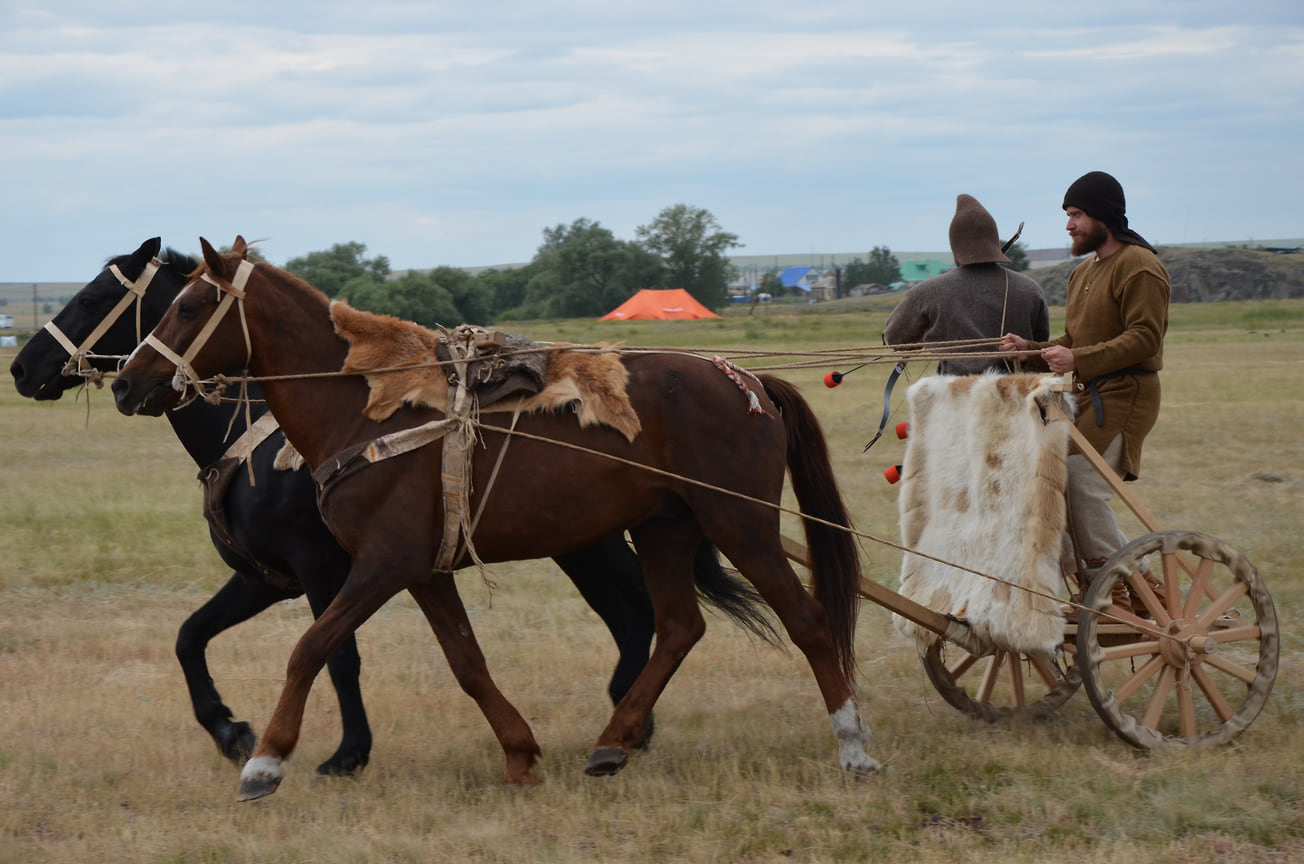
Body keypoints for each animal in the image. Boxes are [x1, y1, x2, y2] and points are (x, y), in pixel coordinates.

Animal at [117, 237, 881, 802]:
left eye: (190, 306)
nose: (127, 382)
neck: (368, 407)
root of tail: (747, 380)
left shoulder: (379, 566)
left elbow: (312, 649)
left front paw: (266, 761)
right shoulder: (420, 571)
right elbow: (467, 662)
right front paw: (519, 753)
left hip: (740, 523)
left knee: (807, 622)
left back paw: (853, 748)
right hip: (665, 527)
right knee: (677, 628)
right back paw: (614, 741)